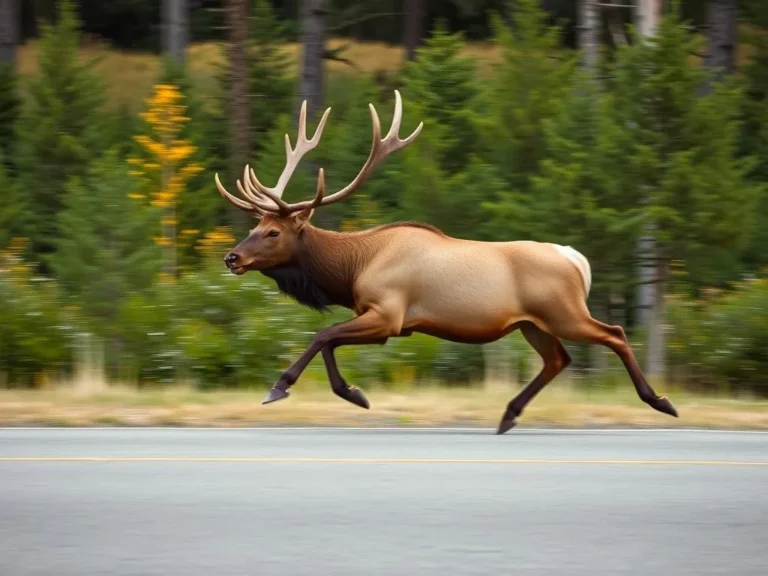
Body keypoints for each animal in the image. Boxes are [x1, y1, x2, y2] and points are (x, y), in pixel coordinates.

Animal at [216, 90, 680, 434]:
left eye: (273, 233)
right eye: (256, 224)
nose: (231, 256)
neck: (351, 271)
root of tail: (575, 260)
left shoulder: (389, 314)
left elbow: (322, 334)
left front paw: (283, 387)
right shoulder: (383, 319)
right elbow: (329, 340)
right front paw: (353, 393)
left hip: (564, 312)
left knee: (614, 333)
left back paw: (660, 401)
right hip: (533, 322)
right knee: (558, 360)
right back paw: (509, 414)